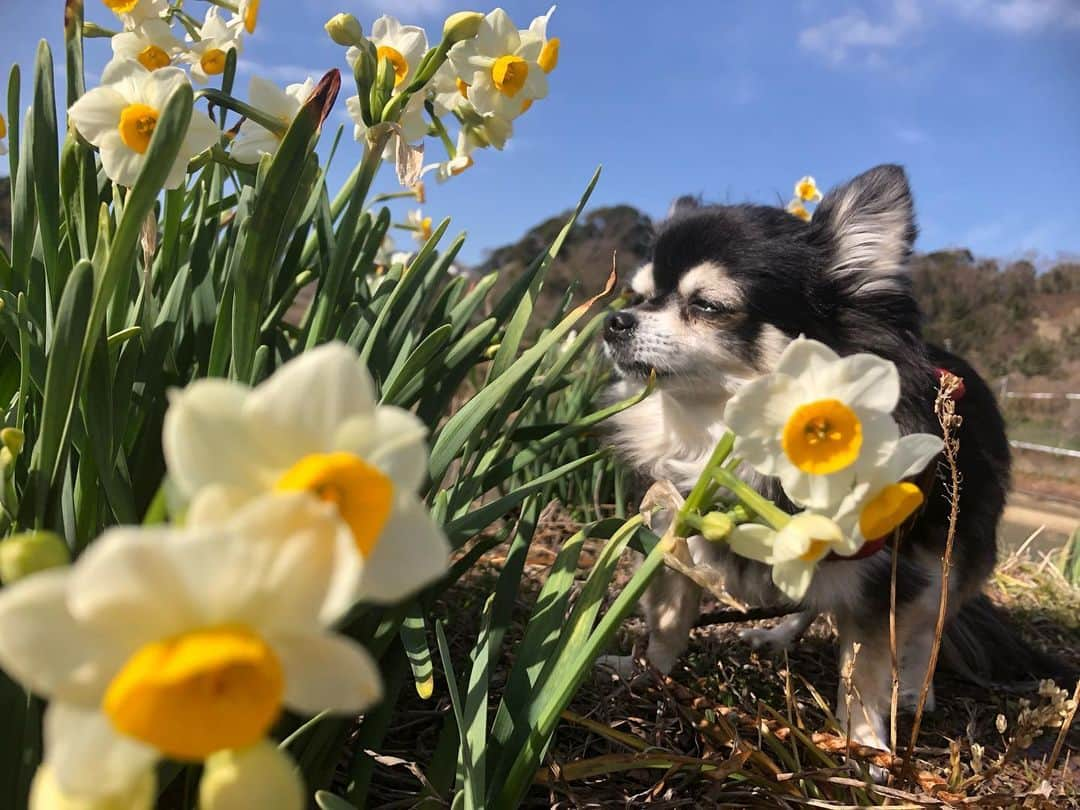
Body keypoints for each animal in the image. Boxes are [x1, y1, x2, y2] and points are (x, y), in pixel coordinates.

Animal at [604, 166, 1067, 756]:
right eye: (638, 296)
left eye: (707, 305)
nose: (613, 321)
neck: (721, 436)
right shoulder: (676, 529)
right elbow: (669, 617)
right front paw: (647, 673)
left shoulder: (887, 575)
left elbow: (864, 670)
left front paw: (866, 746)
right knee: (812, 599)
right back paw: (777, 633)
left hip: (952, 549)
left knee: (928, 624)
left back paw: (914, 689)